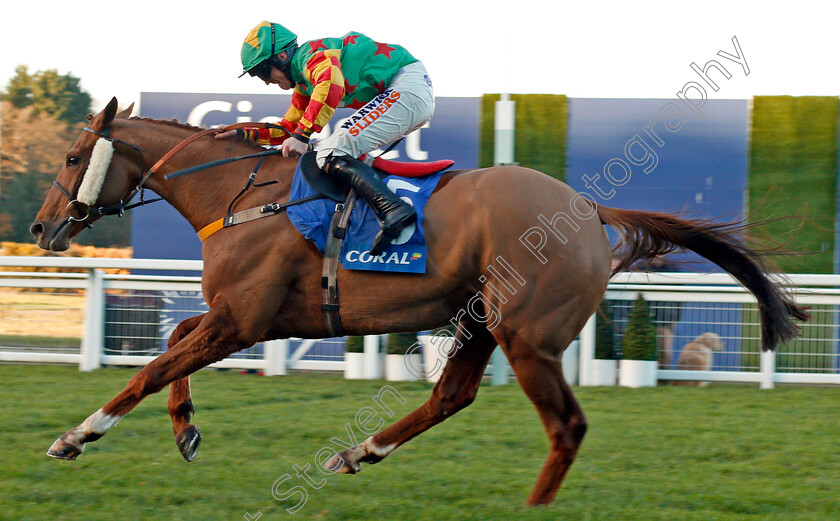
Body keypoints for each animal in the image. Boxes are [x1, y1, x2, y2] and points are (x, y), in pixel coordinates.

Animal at [31, 96, 808, 504]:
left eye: (71, 157)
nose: (40, 228)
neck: (240, 193)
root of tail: (588, 209)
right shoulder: (249, 318)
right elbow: (170, 342)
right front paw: (186, 430)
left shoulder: (243, 319)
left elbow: (148, 368)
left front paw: (77, 434)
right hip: (482, 321)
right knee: (450, 396)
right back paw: (359, 451)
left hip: (527, 336)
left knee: (565, 426)